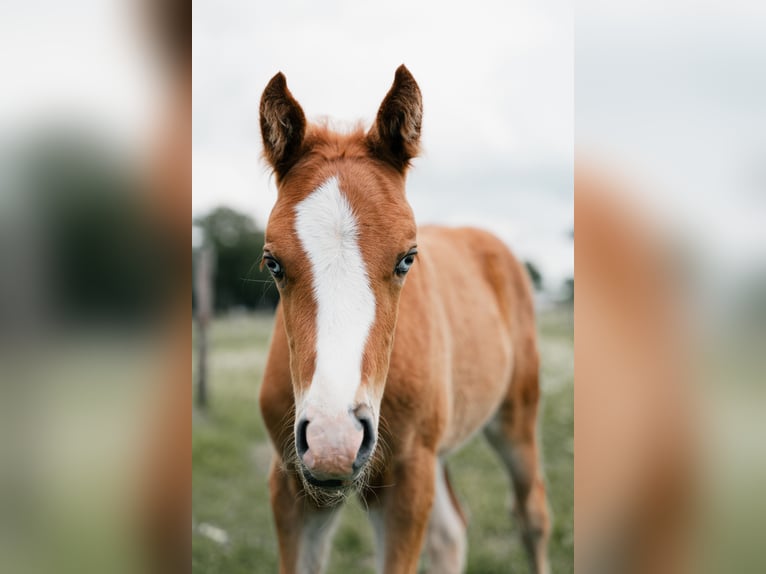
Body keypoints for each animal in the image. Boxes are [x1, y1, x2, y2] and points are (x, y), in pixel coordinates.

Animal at [258, 65, 550, 574]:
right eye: (273, 262)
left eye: (407, 259)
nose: (335, 441)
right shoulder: (293, 484)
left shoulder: (408, 483)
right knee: (451, 531)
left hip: (515, 415)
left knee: (530, 514)